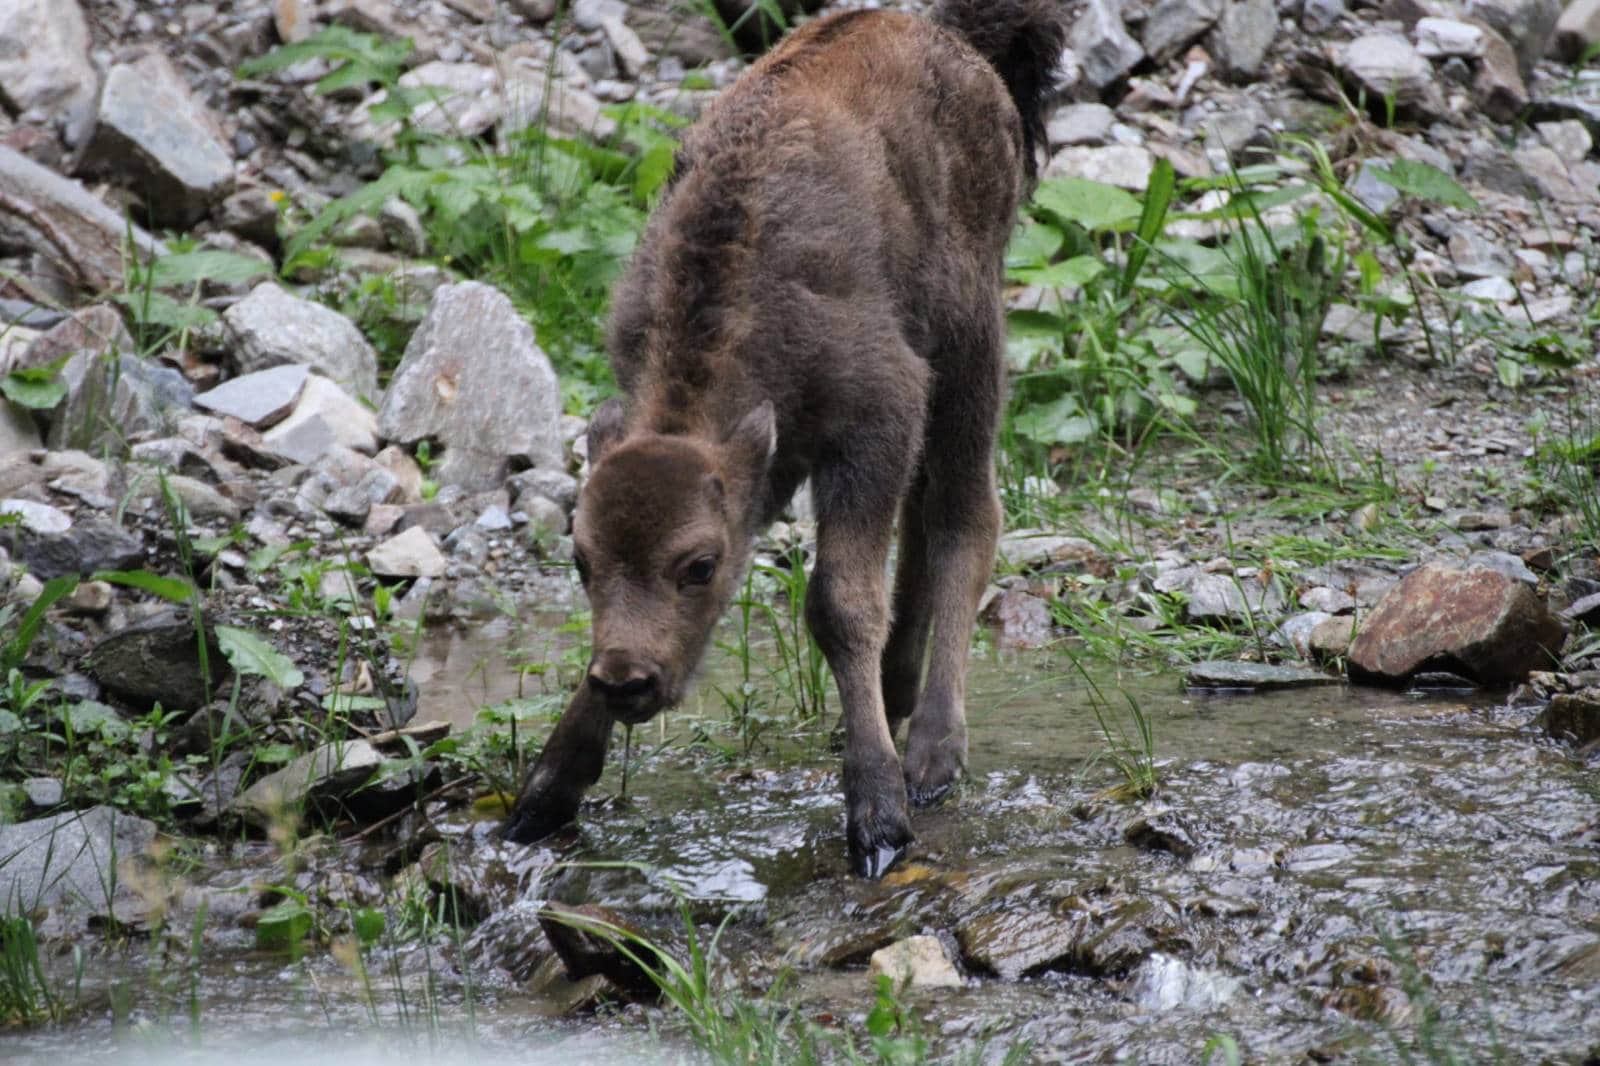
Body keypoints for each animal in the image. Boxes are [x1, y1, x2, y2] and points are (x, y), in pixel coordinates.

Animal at [505, 0, 1068, 877]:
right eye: (581, 561)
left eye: (700, 565)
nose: (628, 682)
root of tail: (956, 43)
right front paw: (545, 792)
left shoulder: (878, 418)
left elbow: (839, 602)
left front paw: (878, 817)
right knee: (925, 526)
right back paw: (895, 698)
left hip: (971, 349)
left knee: (964, 518)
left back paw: (933, 753)